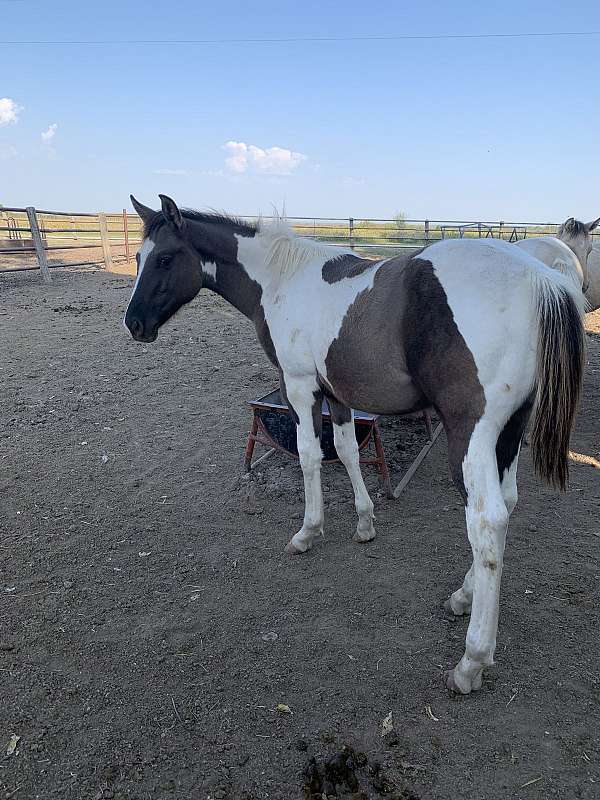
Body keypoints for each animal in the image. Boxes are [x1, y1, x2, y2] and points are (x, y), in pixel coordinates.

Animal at [124, 195, 588, 692]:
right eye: (138, 258)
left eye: (165, 258)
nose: (134, 324)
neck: (282, 278)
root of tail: (544, 281)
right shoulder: (337, 394)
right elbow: (346, 451)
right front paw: (364, 522)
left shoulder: (300, 386)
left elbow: (310, 456)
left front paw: (308, 532)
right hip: (511, 430)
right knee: (508, 503)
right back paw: (462, 596)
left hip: (471, 433)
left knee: (487, 521)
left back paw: (472, 661)